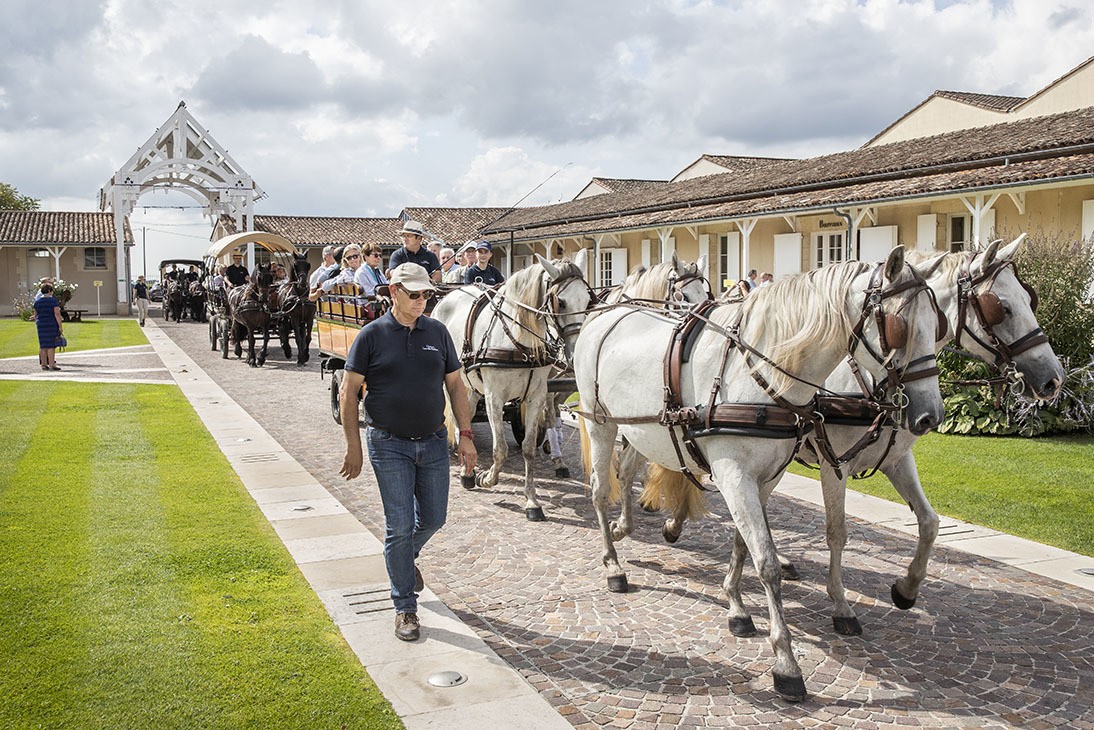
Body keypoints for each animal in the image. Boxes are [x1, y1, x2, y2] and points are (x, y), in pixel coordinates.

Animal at [431, 253, 595, 523]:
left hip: (472, 386)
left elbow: (528, 448)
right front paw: (487, 478)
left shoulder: (536, 395)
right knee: (455, 416)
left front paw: (532, 501)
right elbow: (501, 449)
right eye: (559, 302)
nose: (576, 352)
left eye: (588, 301)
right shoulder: (494, 397)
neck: (519, 340)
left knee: (466, 414)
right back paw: (466, 468)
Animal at [577, 247, 945, 700]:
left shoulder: (766, 477)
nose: (930, 415)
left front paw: (736, 605)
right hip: (601, 422)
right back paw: (614, 564)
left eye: (938, 325)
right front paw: (786, 661)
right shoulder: (748, 472)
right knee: (599, 489)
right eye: (899, 327)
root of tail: (608, 310)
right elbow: (767, 560)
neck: (761, 374)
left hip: (639, 429)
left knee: (628, 471)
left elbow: (745, 542)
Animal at [796, 237, 1067, 634]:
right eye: (1001, 308)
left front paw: (907, 587)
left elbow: (929, 522)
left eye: (1028, 299)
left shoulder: (897, 460)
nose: (1053, 379)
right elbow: (837, 532)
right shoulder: (836, 464)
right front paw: (841, 604)